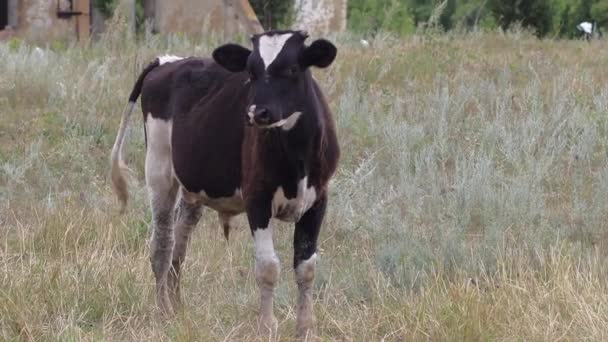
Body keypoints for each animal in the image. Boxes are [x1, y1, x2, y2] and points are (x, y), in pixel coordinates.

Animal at [109, 30, 338, 336]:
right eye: (251, 72)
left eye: (292, 69)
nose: (256, 113)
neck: (296, 156)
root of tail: (168, 61)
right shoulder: (257, 200)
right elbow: (268, 268)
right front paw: (266, 327)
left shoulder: (318, 200)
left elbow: (306, 268)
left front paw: (304, 329)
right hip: (159, 170)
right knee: (162, 246)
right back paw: (164, 311)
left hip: (192, 186)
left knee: (179, 246)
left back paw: (178, 308)